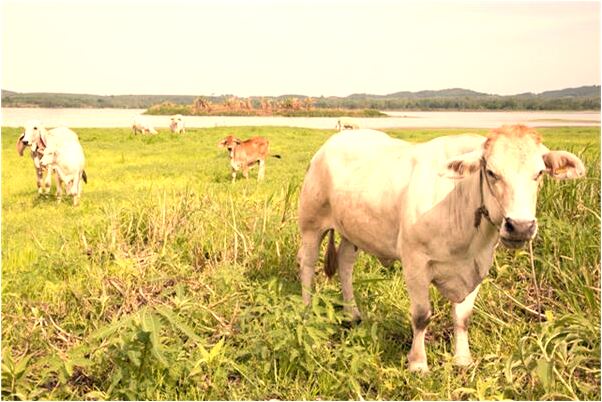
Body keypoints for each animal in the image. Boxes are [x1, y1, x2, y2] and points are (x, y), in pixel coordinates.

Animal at [298, 124, 584, 372]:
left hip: (353, 230)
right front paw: (417, 363)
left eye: (539, 173)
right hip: (311, 223)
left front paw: (463, 359)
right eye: (492, 172)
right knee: (307, 265)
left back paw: (353, 312)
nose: (521, 226)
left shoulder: (478, 265)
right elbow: (421, 316)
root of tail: (336, 140)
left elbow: (463, 317)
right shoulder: (415, 262)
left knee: (345, 263)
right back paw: (307, 310)